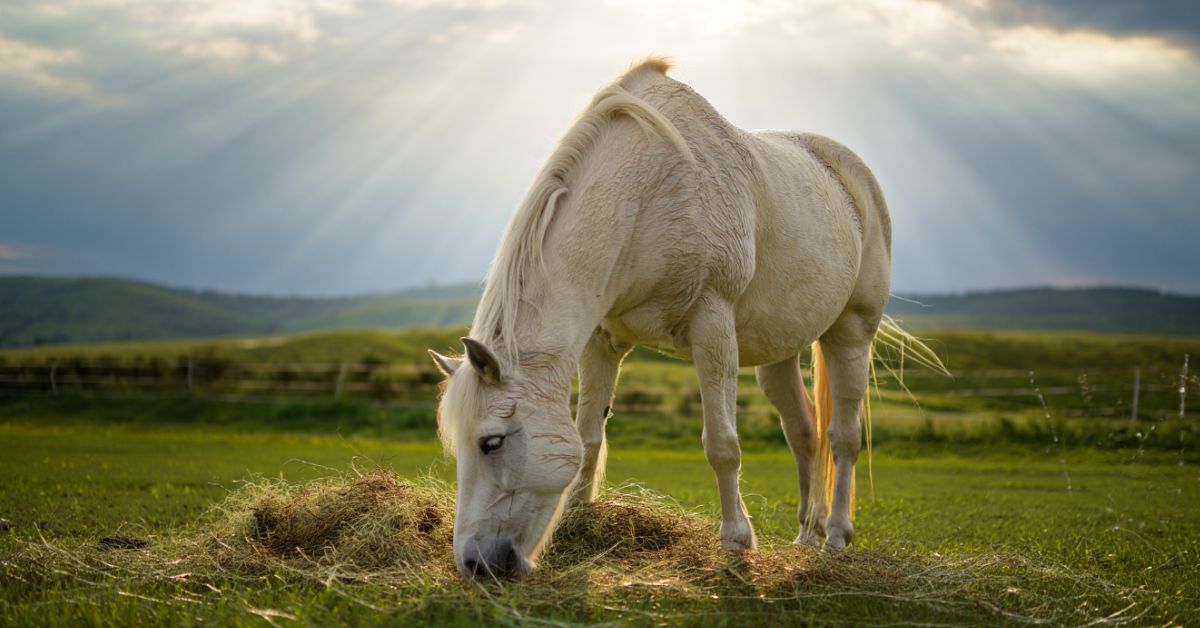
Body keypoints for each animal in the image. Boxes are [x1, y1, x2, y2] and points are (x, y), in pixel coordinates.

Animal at [429, 57, 930, 581]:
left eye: (491, 442)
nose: (474, 563)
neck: (646, 195)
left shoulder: (712, 326)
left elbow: (722, 444)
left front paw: (736, 541)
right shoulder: (601, 342)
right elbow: (589, 438)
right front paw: (582, 522)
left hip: (850, 333)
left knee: (844, 437)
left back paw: (835, 536)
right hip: (779, 352)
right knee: (805, 433)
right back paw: (806, 538)